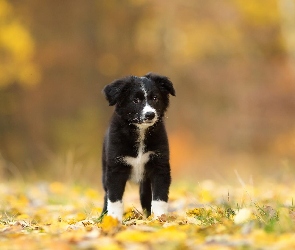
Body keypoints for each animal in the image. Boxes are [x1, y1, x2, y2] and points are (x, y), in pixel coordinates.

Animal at [102, 72, 176, 221]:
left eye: (155, 98)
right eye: (135, 100)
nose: (150, 114)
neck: (140, 132)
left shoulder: (160, 166)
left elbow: (159, 197)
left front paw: (160, 219)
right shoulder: (115, 169)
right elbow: (114, 199)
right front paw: (113, 220)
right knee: (106, 195)